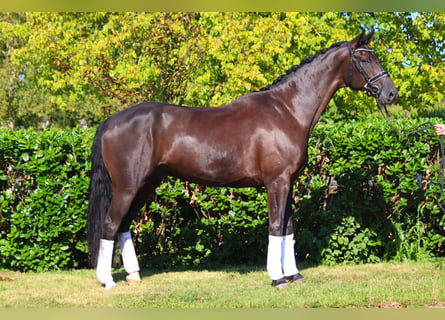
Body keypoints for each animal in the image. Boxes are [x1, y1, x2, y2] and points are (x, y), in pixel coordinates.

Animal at [86, 31, 396, 288]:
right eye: (364, 58)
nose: (391, 93)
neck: (287, 110)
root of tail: (110, 122)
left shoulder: (289, 183)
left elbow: (288, 228)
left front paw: (294, 275)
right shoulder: (276, 182)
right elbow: (275, 227)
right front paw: (277, 278)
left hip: (147, 185)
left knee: (123, 225)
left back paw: (133, 275)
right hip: (127, 187)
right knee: (110, 224)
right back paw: (107, 281)